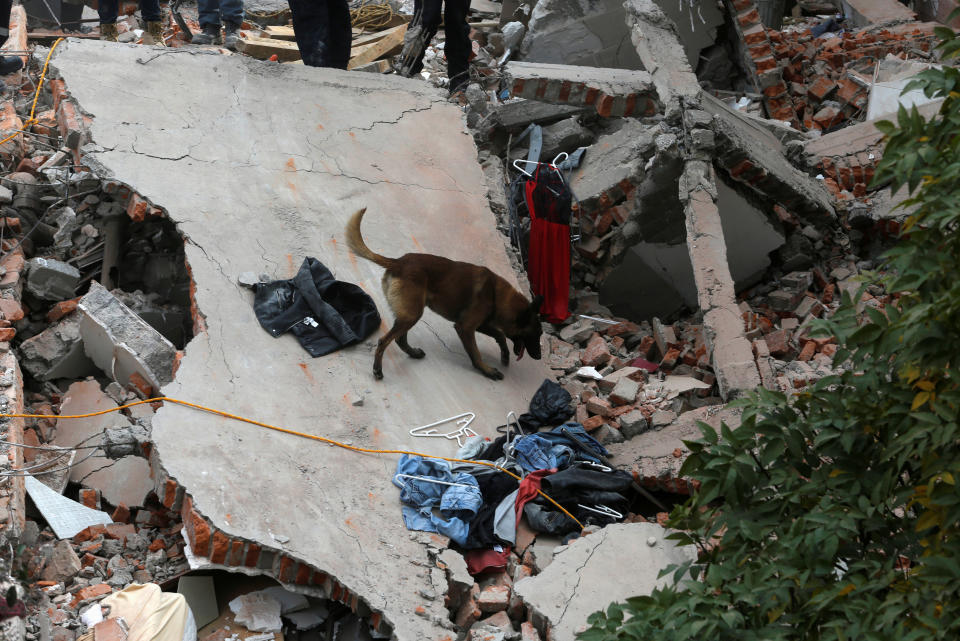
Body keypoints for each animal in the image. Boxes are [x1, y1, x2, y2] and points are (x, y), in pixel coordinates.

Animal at [344, 209, 544, 380]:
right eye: (536, 334)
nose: (539, 357)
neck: (497, 294)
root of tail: (398, 262)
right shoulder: (465, 327)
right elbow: (476, 353)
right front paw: (486, 369)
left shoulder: (480, 325)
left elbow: (500, 335)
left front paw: (504, 354)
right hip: (413, 314)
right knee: (384, 341)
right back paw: (378, 369)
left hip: (409, 313)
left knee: (399, 338)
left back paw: (413, 352)